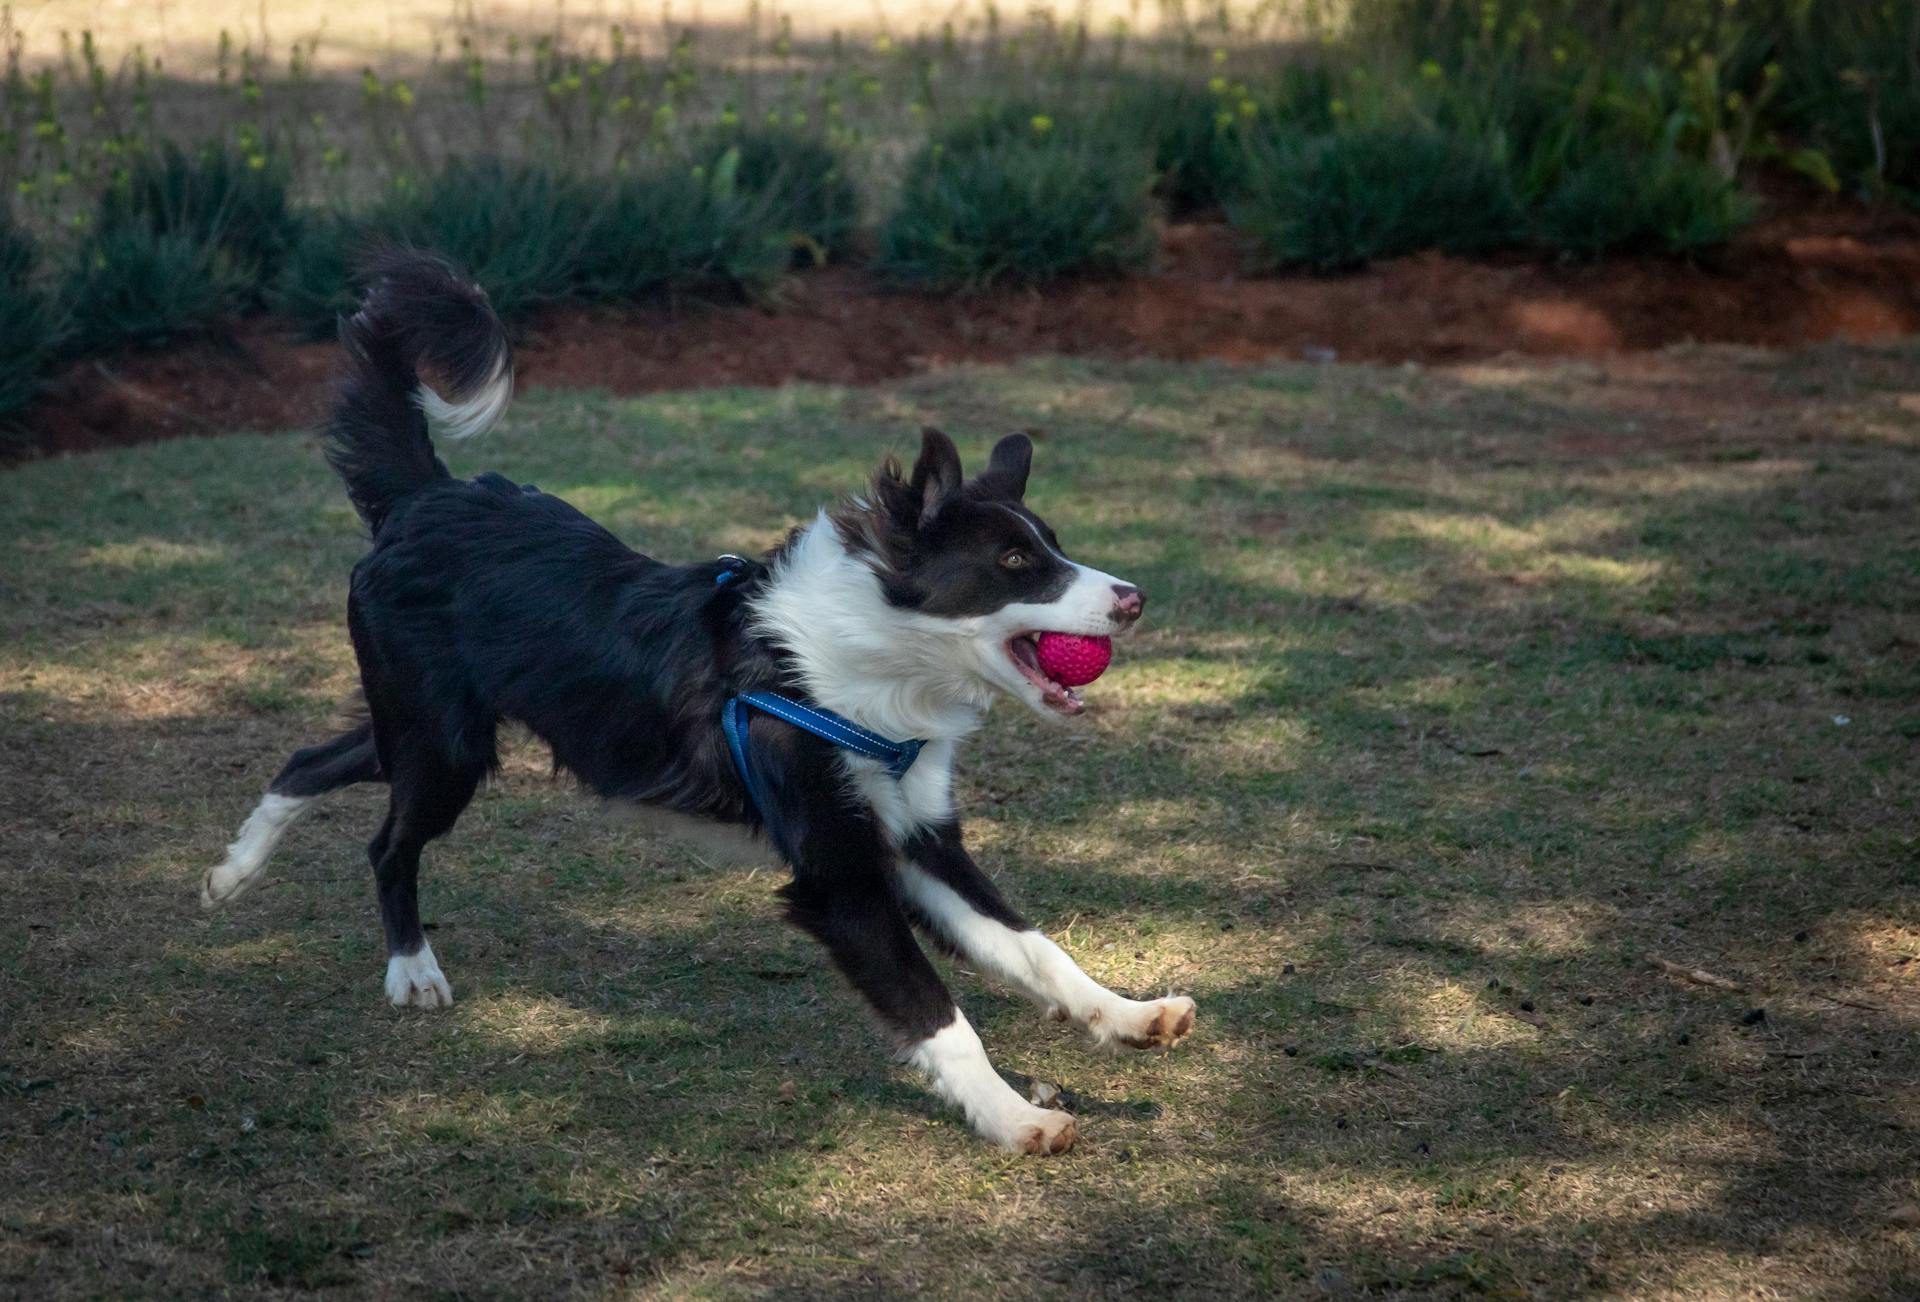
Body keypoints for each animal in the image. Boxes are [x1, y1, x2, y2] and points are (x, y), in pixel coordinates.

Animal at [214, 249, 1198, 1159]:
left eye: (1053, 546)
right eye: (1015, 564)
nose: (1135, 598)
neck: (865, 663)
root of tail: (425, 497)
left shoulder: (918, 840)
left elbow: (1033, 947)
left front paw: (1128, 1014)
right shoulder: (839, 874)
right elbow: (937, 1014)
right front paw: (1013, 1116)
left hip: (428, 729)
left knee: (313, 758)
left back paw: (233, 870)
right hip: (444, 744)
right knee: (387, 842)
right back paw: (410, 969)